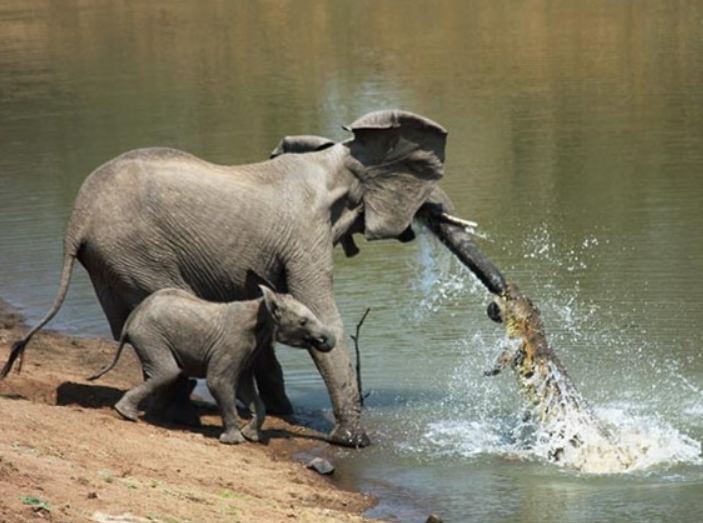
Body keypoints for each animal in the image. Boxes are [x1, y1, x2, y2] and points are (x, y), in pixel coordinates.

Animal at [87, 288, 336, 444]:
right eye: (303, 322)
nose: (325, 340)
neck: (261, 306)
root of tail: (132, 317)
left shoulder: (250, 349)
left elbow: (244, 389)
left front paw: (251, 436)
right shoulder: (233, 343)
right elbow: (220, 382)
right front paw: (233, 441)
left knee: (166, 374)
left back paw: (153, 417)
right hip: (150, 336)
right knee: (168, 372)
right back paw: (127, 414)